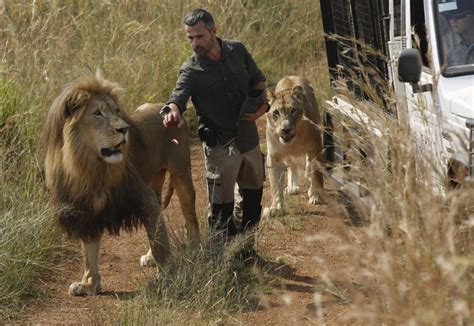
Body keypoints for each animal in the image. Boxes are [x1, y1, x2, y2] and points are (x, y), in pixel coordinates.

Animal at [43, 73, 199, 296]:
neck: (91, 166)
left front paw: (166, 277)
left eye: (117, 111)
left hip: (181, 173)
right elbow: (88, 250)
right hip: (154, 181)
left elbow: (160, 241)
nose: (124, 129)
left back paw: (195, 251)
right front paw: (89, 283)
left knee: (190, 218)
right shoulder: (86, 208)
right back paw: (150, 257)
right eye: (97, 113)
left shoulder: (141, 195)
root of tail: (166, 108)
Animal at [264, 75, 324, 215]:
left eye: (293, 111)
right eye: (276, 113)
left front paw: (316, 196)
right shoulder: (274, 156)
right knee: (292, 165)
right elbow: (275, 185)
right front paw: (277, 207)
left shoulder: (316, 148)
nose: (286, 129)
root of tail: (290, 76)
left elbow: (316, 174)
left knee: (308, 166)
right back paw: (292, 187)